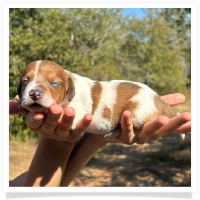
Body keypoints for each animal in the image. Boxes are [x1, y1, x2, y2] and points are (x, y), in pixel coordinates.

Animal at [16, 59, 184, 139]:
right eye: (25, 81)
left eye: (54, 83)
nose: (34, 94)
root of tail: (158, 99)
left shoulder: (78, 110)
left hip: (136, 112)